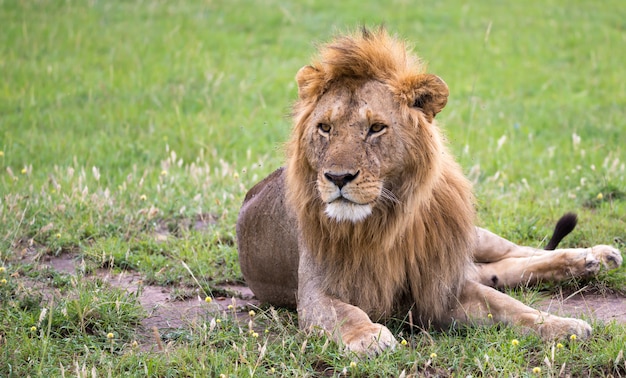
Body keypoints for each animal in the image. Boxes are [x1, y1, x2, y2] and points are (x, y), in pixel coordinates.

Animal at [236, 28, 620, 356]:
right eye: (325, 128)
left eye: (376, 128)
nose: (337, 177)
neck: (385, 220)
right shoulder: (315, 292)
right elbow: (343, 312)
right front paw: (368, 336)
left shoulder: (441, 284)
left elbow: (510, 306)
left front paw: (563, 325)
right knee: (503, 268)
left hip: (470, 237)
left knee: (520, 252)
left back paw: (595, 257)